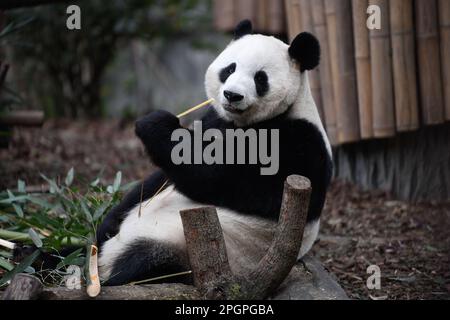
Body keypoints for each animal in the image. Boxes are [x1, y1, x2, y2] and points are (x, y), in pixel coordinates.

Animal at [97, 20, 330, 284]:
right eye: (229, 69)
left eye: (260, 78)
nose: (232, 95)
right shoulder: (215, 119)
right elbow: (156, 181)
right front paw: (108, 221)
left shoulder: (297, 144)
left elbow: (215, 178)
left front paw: (155, 124)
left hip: (188, 249)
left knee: (145, 261)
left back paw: (111, 278)